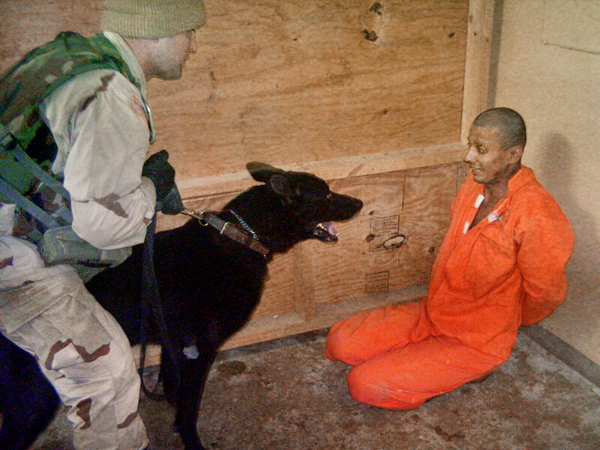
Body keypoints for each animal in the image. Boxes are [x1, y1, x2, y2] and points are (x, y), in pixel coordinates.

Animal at [0, 163, 360, 450]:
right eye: (327, 196)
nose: (359, 202)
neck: (241, 234)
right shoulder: (201, 350)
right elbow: (190, 408)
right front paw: (191, 441)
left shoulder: (174, 344)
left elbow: (172, 384)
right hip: (34, 399)